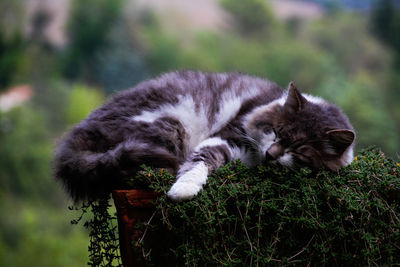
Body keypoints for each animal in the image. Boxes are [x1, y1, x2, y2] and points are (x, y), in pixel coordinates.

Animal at [54, 70, 356, 202]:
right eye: (277, 132)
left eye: (299, 152)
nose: (271, 155)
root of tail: (77, 136)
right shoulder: (229, 135)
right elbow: (201, 160)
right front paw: (183, 190)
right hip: (171, 125)